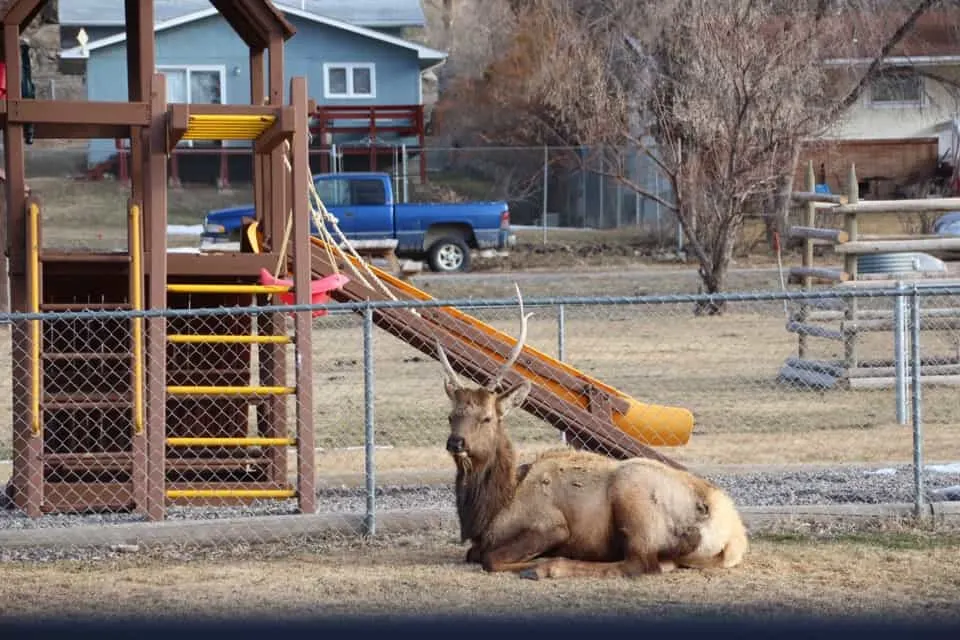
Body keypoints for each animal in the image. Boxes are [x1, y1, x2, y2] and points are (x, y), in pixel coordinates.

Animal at [436, 286, 752, 580]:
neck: (492, 509)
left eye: (487, 417)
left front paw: (537, 562)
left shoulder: (551, 524)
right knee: (661, 563)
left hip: (634, 498)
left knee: (640, 564)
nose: (456, 442)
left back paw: (549, 567)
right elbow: (473, 553)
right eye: (451, 416)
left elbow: (489, 558)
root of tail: (733, 536)